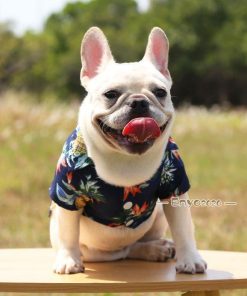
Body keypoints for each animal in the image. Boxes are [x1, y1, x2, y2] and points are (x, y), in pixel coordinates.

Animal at [48, 27, 206, 276]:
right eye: (111, 94)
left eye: (160, 92)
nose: (139, 102)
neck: (126, 158)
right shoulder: (68, 193)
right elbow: (68, 234)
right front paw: (68, 260)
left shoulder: (174, 187)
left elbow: (183, 228)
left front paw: (190, 258)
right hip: (95, 251)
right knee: (123, 252)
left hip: (158, 214)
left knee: (135, 246)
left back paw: (158, 248)